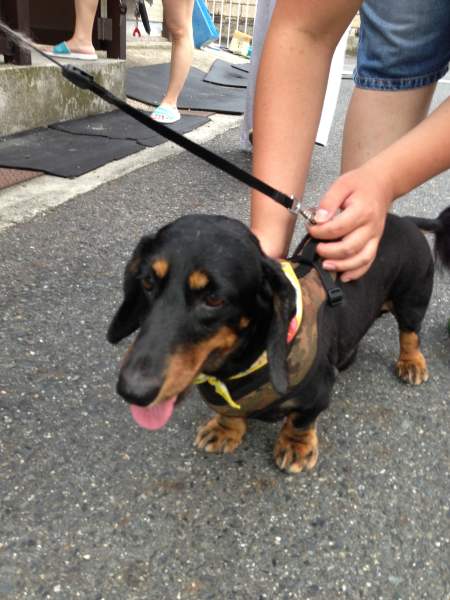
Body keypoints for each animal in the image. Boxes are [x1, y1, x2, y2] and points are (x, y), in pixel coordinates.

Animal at [107, 208, 450, 473]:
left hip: (412, 299)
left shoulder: (317, 393)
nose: (132, 391)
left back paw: (412, 363)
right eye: (147, 282)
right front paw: (224, 429)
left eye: (214, 299)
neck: (240, 363)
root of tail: (402, 219)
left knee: (409, 333)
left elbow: (300, 419)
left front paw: (296, 446)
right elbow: (231, 412)